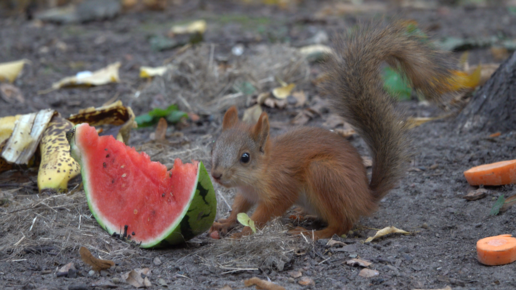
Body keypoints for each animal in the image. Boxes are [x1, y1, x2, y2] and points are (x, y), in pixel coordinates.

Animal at [209, 22, 452, 239]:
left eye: (245, 157)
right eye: (214, 149)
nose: (216, 175)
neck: (262, 170)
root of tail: (366, 198)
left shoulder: (281, 187)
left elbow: (263, 214)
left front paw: (243, 233)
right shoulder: (246, 193)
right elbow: (238, 208)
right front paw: (225, 222)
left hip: (324, 174)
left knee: (342, 224)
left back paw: (314, 233)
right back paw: (303, 215)